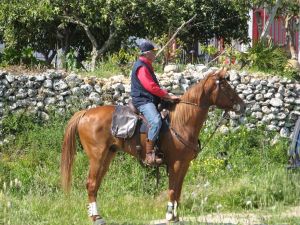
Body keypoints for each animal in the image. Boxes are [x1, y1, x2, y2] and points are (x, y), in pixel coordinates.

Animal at [61, 67, 246, 224]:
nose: (242, 105)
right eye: (225, 86)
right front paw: (170, 216)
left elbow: (178, 190)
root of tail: (85, 113)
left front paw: (176, 216)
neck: (182, 120)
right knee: (91, 184)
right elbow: (172, 190)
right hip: (97, 157)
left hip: (107, 156)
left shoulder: (184, 164)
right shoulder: (176, 164)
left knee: (95, 184)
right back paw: (96, 218)